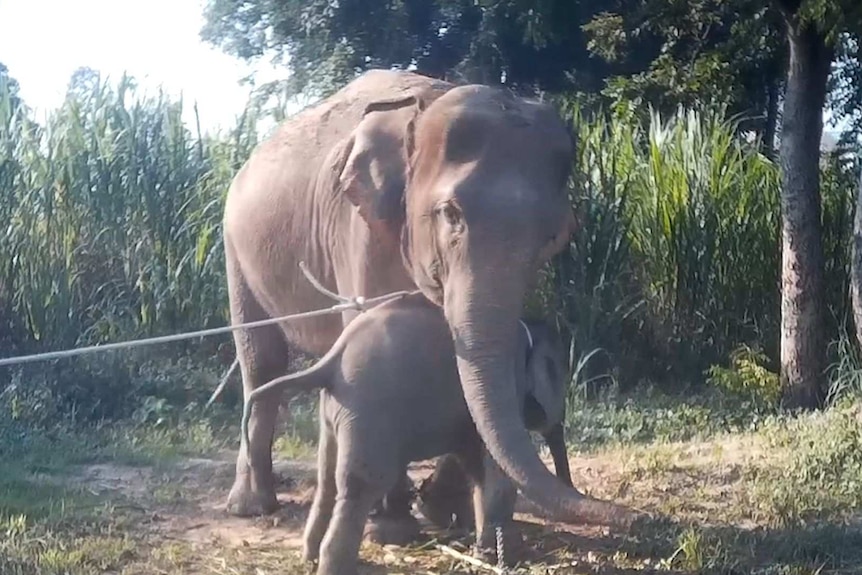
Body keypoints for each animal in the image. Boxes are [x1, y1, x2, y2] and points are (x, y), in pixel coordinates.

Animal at [223, 71, 640, 532]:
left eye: (552, 236)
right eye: (450, 214)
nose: (633, 516)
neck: (426, 106)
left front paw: (438, 510)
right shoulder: (358, 229)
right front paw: (393, 525)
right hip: (236, 247)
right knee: (262, 360)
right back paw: (252, 506)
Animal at [245, 294, 572, 572]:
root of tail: (331, 359)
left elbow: (477, 467)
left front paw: (488, 553)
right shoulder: (507, 386)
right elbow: (495, 471)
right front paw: (509, 557)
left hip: (334, 410)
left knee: (328, 479)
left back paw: (309, 558)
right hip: (368, 411)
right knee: (361, 484)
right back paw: (334, 565)